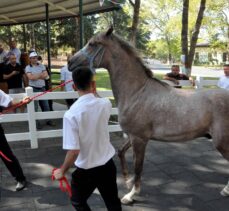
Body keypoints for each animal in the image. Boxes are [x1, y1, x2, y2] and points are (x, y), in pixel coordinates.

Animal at [69, 27, 229, 204]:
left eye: (92, 44)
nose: (70, 63)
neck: (137, 92)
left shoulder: (140, 139)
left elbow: (138, 167)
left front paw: (131, 194)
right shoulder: (133, 136)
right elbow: (121, 152)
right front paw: (127, 181)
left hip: (222, 142)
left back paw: (226, 190)